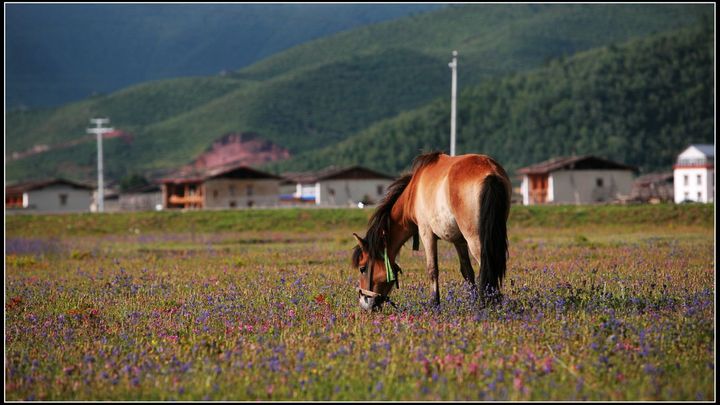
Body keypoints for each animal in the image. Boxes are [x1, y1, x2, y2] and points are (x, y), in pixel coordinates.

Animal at [350, 150, 510, 310]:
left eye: (362, 268)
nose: (364, 303)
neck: (413, 193)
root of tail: (490, 172)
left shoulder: (426, 233)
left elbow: (432, 269)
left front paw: (435, 304)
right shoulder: (459, 241)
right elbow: (467, 271)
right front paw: (472, 300)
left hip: (475, 239)